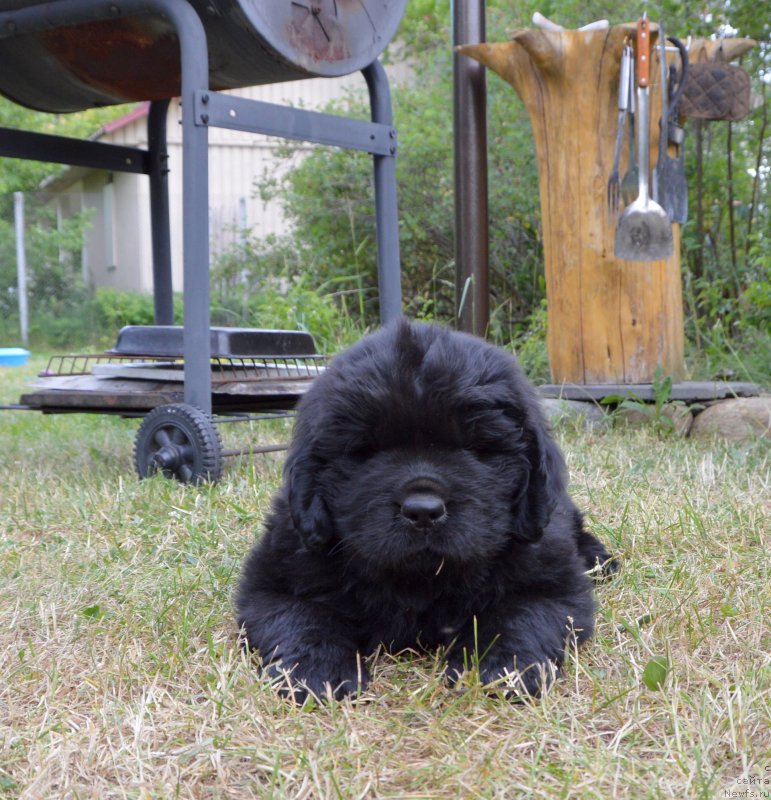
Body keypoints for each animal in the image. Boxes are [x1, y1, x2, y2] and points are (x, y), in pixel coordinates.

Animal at [235, 318, 616, 700]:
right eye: (366, 450)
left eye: (475, 447)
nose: (423, 511)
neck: (421, 580)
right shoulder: (273, 578)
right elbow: (305, 615)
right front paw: (317, 671)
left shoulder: (554, 584)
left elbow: (518, 615)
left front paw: (499, 669)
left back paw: (601, 559)